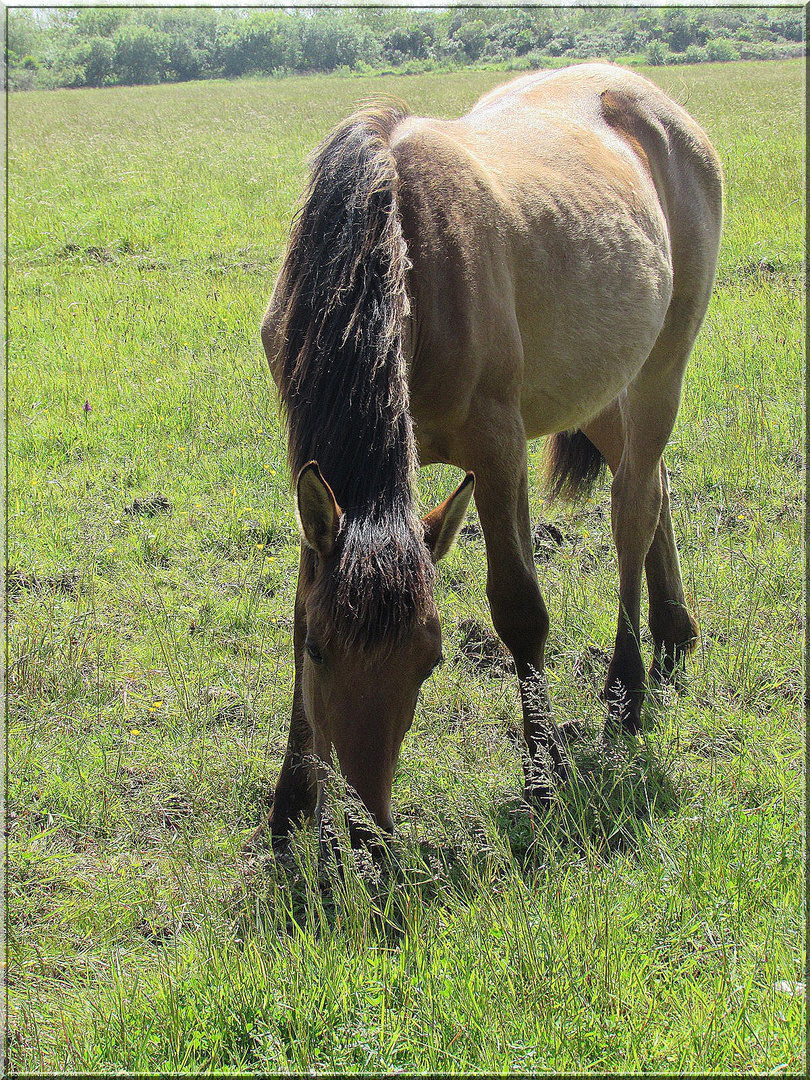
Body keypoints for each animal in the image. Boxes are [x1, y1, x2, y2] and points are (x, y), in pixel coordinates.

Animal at [263, 63, 725, 846]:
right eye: (322, 651)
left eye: (431, 661)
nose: (368, 824)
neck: (403, 253)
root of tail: (656, 104)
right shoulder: (314, 471)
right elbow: (301, 602)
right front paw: (292, 802)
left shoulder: (498, 444)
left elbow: (520, 610)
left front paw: (542, 778)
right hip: (599, 387)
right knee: (653, 482)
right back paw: (672, 634)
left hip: (662, 366)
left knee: (633, 508)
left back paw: (628, 687)